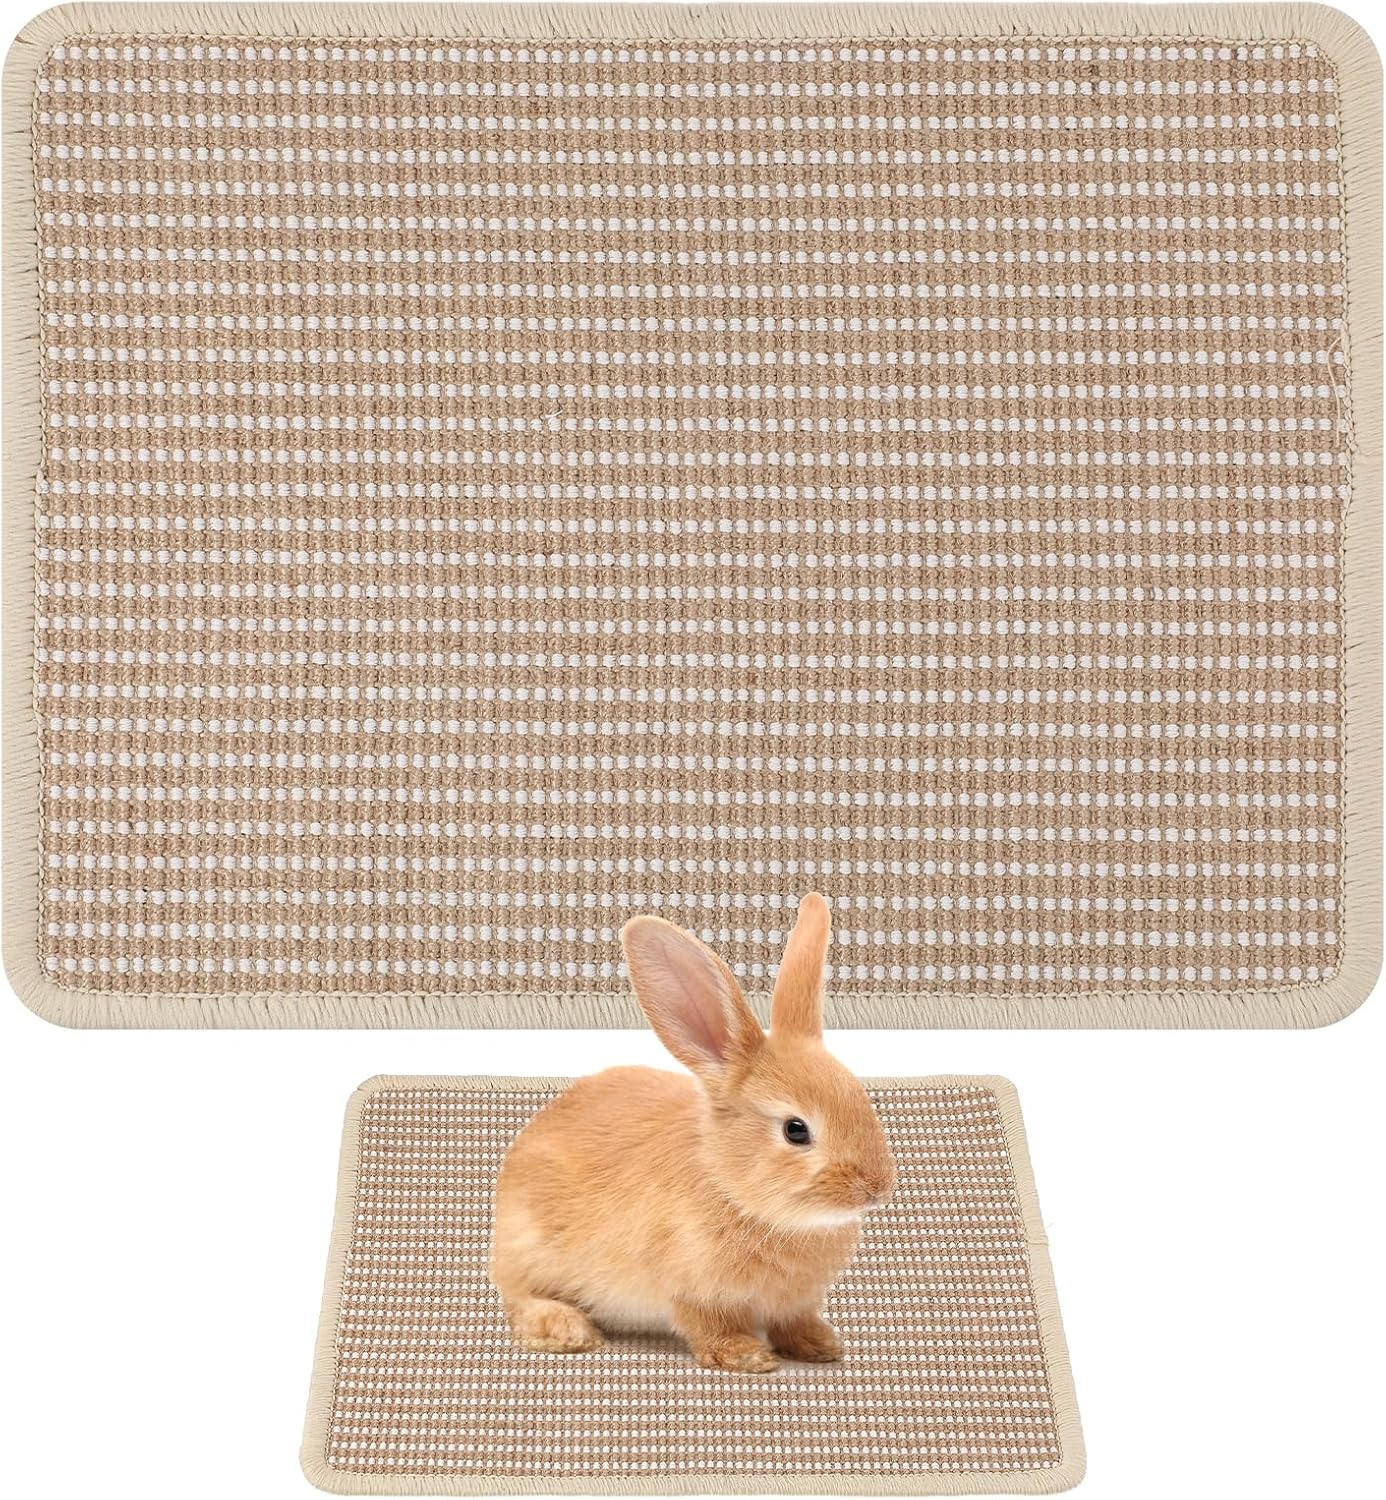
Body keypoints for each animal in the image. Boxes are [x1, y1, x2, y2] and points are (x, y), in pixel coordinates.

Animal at [489, 892, 897, 1373]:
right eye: (796, 1130)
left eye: (860, 1097)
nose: (877, 1188)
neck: (735, 1190)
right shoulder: (692, 1289)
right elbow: (709, 1326)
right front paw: (746, 1355)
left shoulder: (792, 1303)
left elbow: (793, 1323)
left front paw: (819, 1345)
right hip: (528, 1249)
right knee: (519, 1297)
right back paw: (567, 1329)